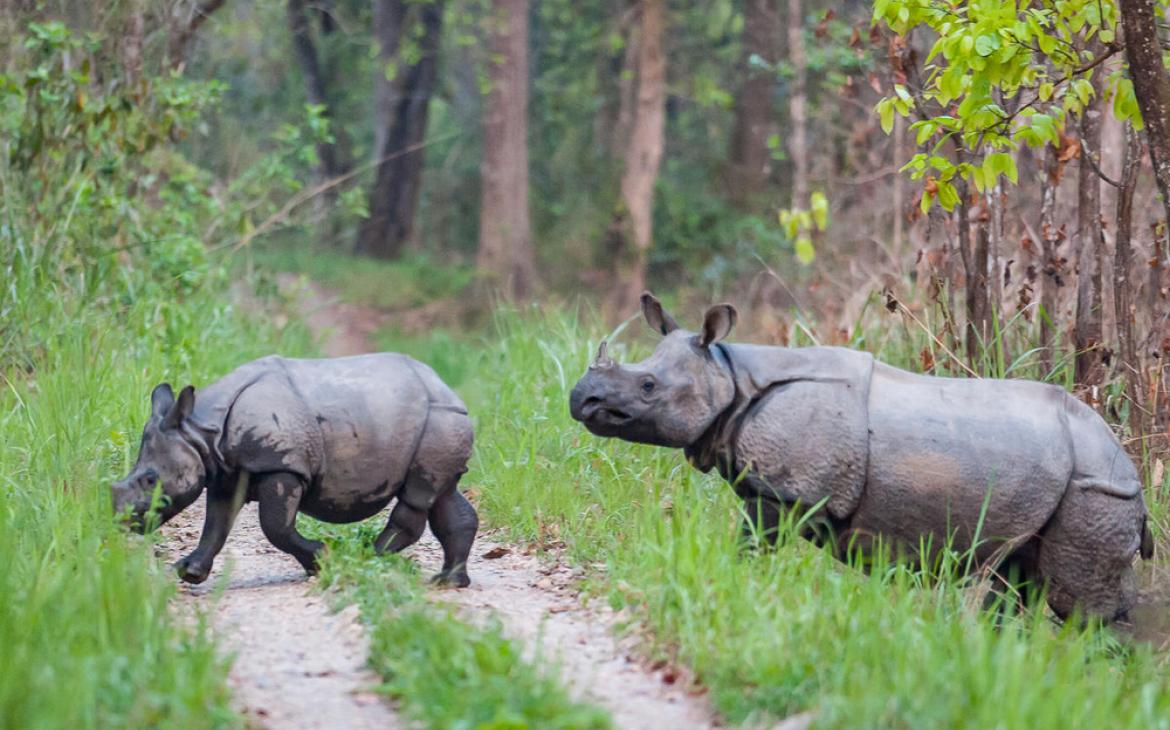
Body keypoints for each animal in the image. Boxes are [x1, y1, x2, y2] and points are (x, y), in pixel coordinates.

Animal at [112, 353, 478, 587]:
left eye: (150, 479)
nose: (122, 521)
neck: (201, 431)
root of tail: (448, 389)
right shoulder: (226, 473)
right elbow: (216, 525)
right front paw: (189, 572)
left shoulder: (282, 465)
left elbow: (275, 527)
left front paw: (321, 560)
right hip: (439, 423)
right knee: (442, 495)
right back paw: (448, 582)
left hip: (438, 421)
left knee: (419, 495)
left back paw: (362, 558)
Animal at [569, 293, 1153, 622]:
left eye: (647, 386)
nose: (581, 400)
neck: (728, 373)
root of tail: (1129, 464)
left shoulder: (784, 491)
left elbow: (752, 547)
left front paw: (738, 586)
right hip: (1069, 482)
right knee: (1017, 575)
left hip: (1096, 486)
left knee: (1074, 602)